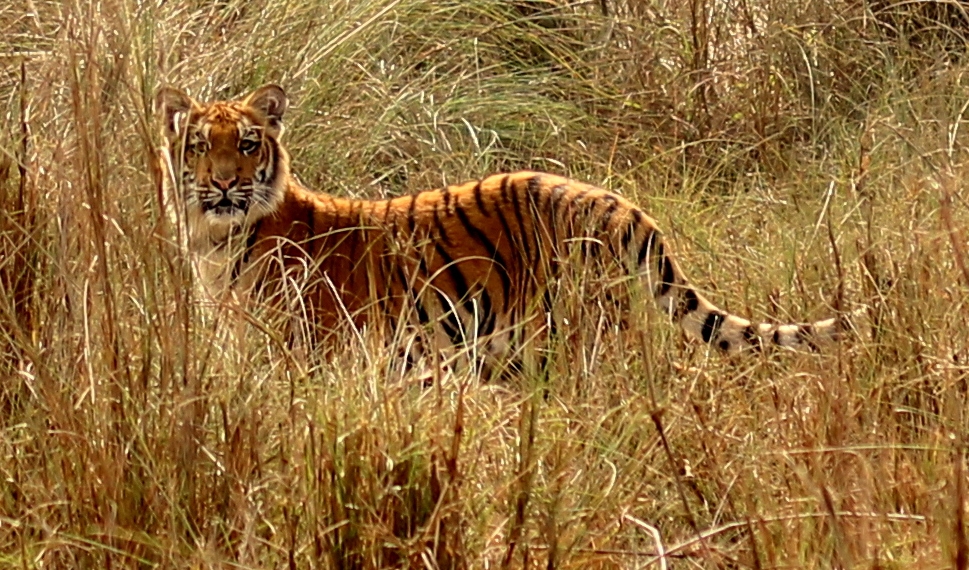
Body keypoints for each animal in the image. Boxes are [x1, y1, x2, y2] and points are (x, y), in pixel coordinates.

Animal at [155, 83, 850, 373]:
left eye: (247, 144)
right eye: (200, 145)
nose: (224, 183)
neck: (213, 241)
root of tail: (611, 198)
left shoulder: (303, 359)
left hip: (580, 336)